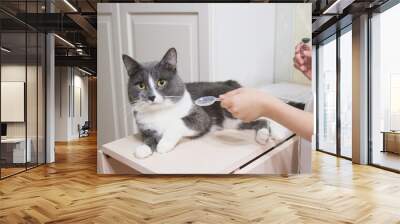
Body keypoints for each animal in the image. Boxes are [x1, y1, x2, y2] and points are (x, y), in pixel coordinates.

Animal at [123, 48, 290, 158]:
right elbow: (148, 137)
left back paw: (274, 134)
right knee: (259, 120)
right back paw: (262, 135)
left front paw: (164, 144)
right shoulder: (144, 127)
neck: (160, 111)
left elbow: (178, 123)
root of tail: (229, 83)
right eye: (141, 85)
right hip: (232, 123)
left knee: (266, 116)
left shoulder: (200, 116)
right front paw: (143, 148)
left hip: (234, 112)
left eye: (161, 82)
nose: (151, 97)